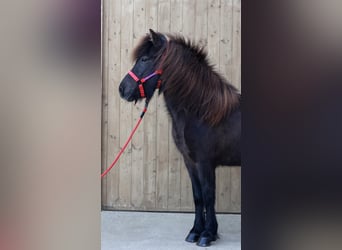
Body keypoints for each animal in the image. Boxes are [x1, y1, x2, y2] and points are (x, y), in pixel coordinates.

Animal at [119, 29, 242, 246]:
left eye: (144, 59)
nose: (122, 89)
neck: (201, 112)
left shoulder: (205, 163)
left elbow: (209, 196)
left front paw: (207, 234)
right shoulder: (190, 162)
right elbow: (198, 196)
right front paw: (195, 231)